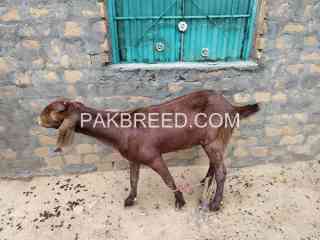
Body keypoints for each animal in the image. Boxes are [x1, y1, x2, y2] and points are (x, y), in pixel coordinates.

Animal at [39, 90, 260, 212]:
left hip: (215, 138)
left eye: (51, 111)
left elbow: (168, 179)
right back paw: (205, 182)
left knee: (222, 170)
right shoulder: (133, 157)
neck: (122, 128)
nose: (39, 120)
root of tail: (232, 107)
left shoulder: (153, 156)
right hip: (211, 141)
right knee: (214, 163)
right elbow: (133, 179)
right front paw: (130, 199)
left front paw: (180, 201)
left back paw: (215, 204)